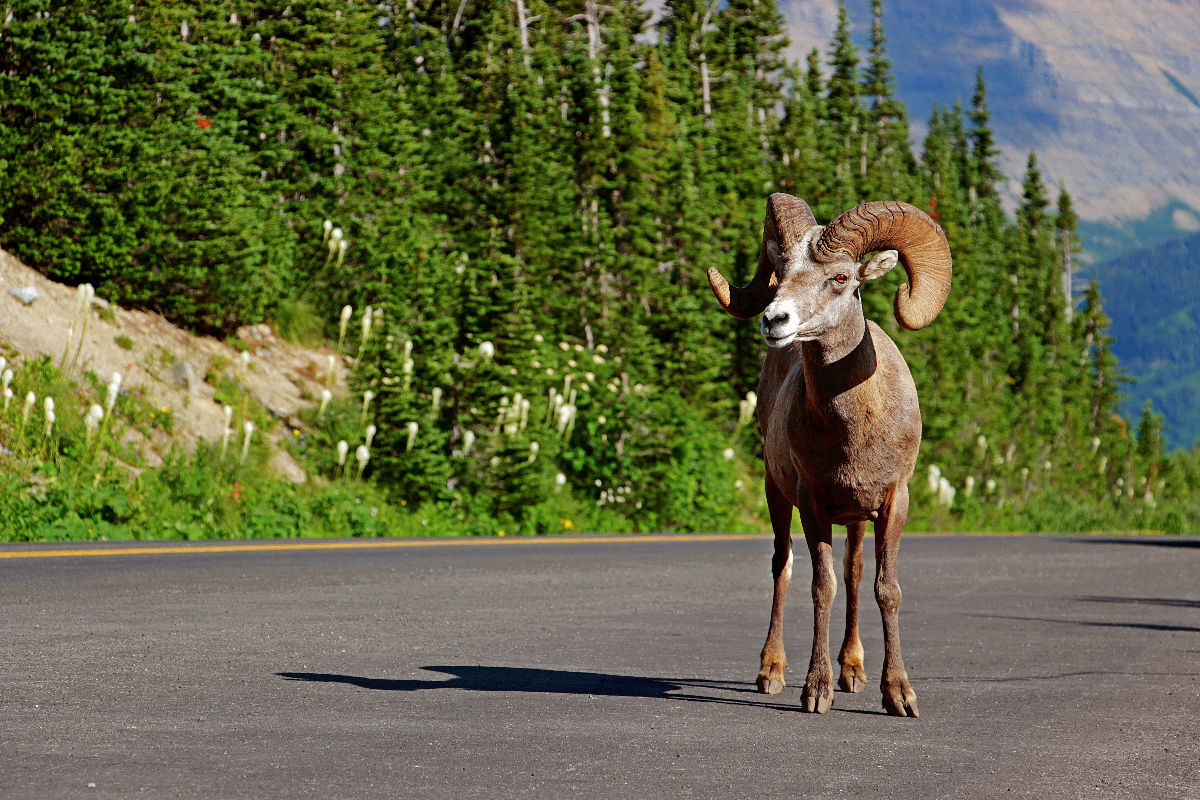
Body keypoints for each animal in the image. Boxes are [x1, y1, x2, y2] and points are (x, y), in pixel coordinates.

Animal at [705, 195, 950, 719]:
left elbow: (884, 589)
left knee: (855, 575)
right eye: (780, 269)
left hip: (855, 520)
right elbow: (822, 587)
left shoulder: (893, 503)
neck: (854, 430)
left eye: (840, 277)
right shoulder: (812, 503)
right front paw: (816, 692)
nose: (774, 321)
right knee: (782, 565)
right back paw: (772, 672)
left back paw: (853, 672)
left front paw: (898, 695)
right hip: (776, 494)